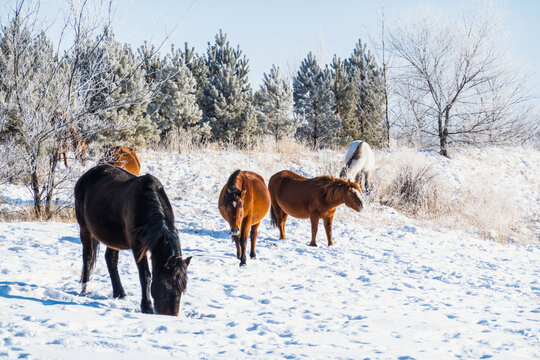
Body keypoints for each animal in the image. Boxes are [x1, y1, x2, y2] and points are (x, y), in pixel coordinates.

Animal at [74, 164, 192, 316]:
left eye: (182, 288)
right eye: (167, 284)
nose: (171, 315)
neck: (147, 204)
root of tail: (87, 174)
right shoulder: (138, 246)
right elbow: (145, 275)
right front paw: (147, 307)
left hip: (113, 238)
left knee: (110, 260)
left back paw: (120, 293)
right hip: (85, 229)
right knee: (88, 257)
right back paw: (85, 290)